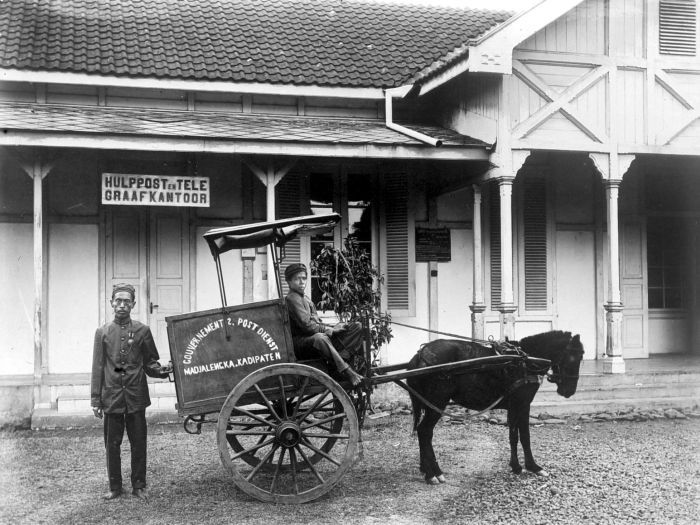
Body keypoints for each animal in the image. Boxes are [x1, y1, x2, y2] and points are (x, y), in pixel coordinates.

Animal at [408, 330, 584, 486]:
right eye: (573, 357)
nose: (569, 391)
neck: (525, 361)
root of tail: (419, 357)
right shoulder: (520, 404)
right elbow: (519, 436)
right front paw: (525, 467)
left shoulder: (518, 406)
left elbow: (519, 436)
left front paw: (524, 466)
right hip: (437, 403)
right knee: (424, 431)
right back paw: (433, 474)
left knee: (424, 433)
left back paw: (426, 468)